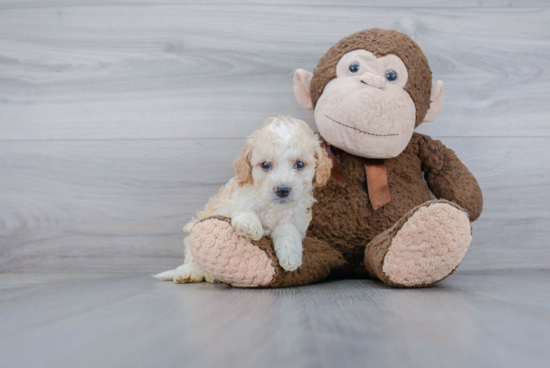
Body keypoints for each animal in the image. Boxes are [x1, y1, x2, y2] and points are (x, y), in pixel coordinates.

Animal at [154, 116, 332, 284]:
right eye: (265, 165)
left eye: (300, 164)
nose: (282, 190)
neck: (272, 208)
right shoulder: (229, 203)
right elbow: (243, 209)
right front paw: (250, 225)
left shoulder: (295, 220)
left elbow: (288, 230)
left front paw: (290, 257)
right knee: (192, 258)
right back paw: (190, 273)